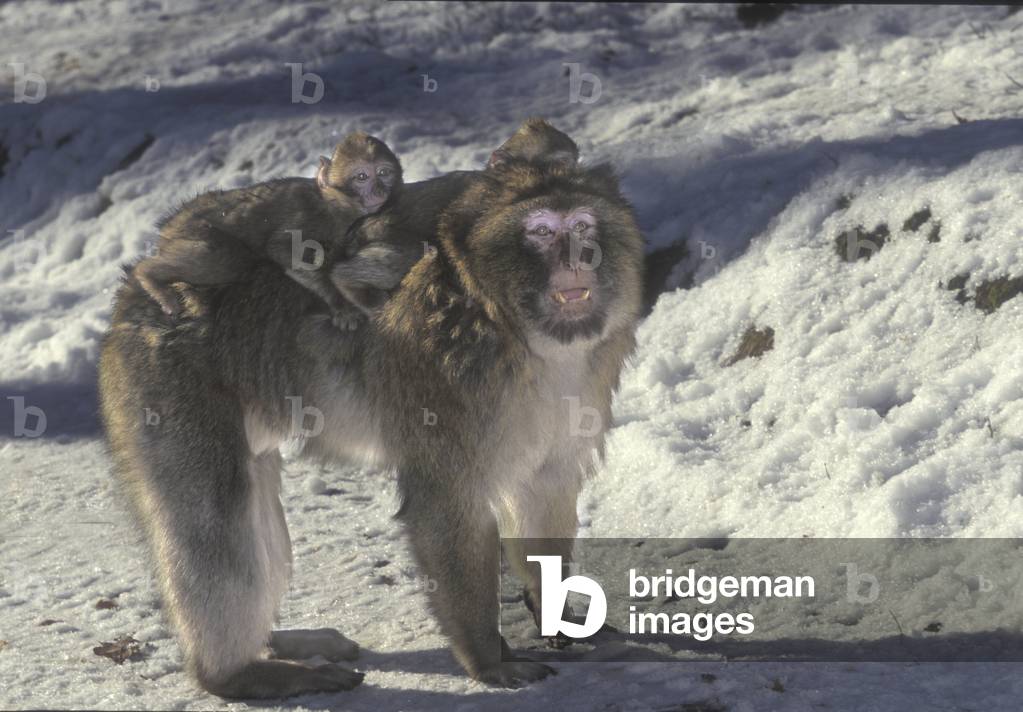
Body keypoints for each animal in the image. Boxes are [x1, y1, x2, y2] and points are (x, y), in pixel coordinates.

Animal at [133, 131, 402, 322]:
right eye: (361, 177)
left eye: (383, 172)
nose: (380, 191)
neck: (334, 203)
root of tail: (169, 223)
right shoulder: (309, 217)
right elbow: (283, 251)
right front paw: (341, 304)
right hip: (193, 230)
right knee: (222, 258)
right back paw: (149, 276)